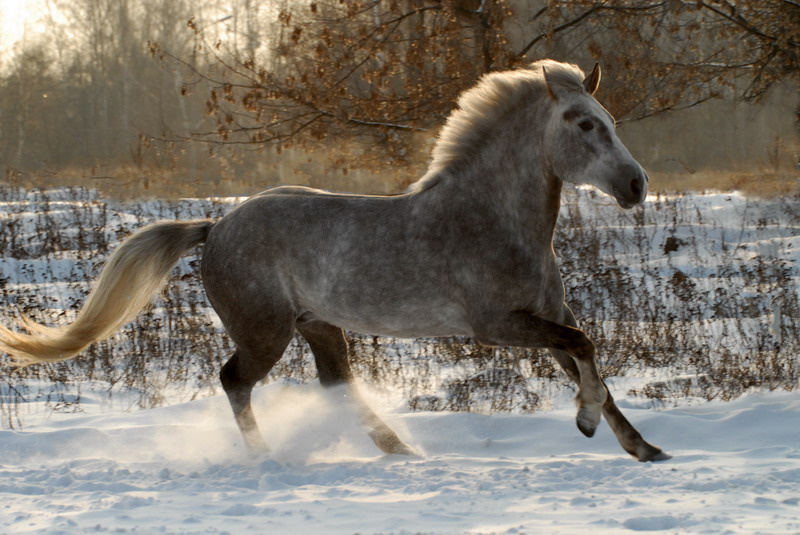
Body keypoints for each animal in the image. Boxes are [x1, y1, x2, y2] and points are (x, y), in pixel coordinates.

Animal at [0, 60, 669, 462]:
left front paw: (643, 449)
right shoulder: (497, 326)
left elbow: (591, 365)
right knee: (235, 381)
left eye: (609, 120)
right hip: (265, 331)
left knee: (335, 382)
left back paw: (397, 449)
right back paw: (267, 458)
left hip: (318, 324)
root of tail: (216, 227)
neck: (494, 220)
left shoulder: (545, 317)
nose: (637, 185)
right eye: (583, 123)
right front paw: (586, 425)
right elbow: (586, 348)